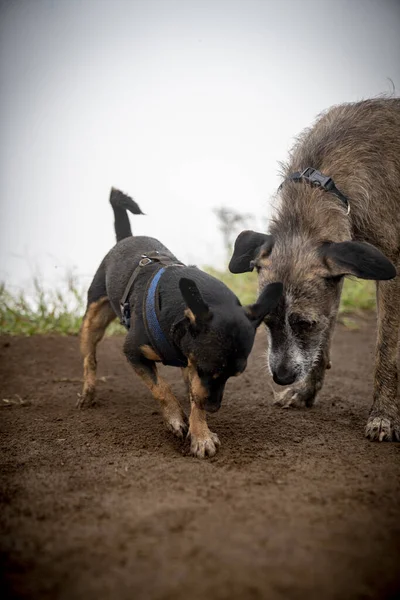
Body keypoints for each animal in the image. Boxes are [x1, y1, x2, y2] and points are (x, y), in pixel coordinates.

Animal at [76, 190, 280, 458]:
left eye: (234, 375)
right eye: (208, 369)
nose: (214, 407)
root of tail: (127, 238)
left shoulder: (192, 363)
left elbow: (195, 396)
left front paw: (201, 434)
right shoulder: (135, 353)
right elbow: (161, 388)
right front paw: (176, 419)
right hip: (95, 315)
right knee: (89, 356)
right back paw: (88, 391)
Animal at [230, 98, 398, 442]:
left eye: (305, 324)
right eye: (266, 321)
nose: (281, 377)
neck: (323, 182)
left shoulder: (391, 267)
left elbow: (386, 350)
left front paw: (384, 415)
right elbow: (324, 339)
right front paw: (306, 391)